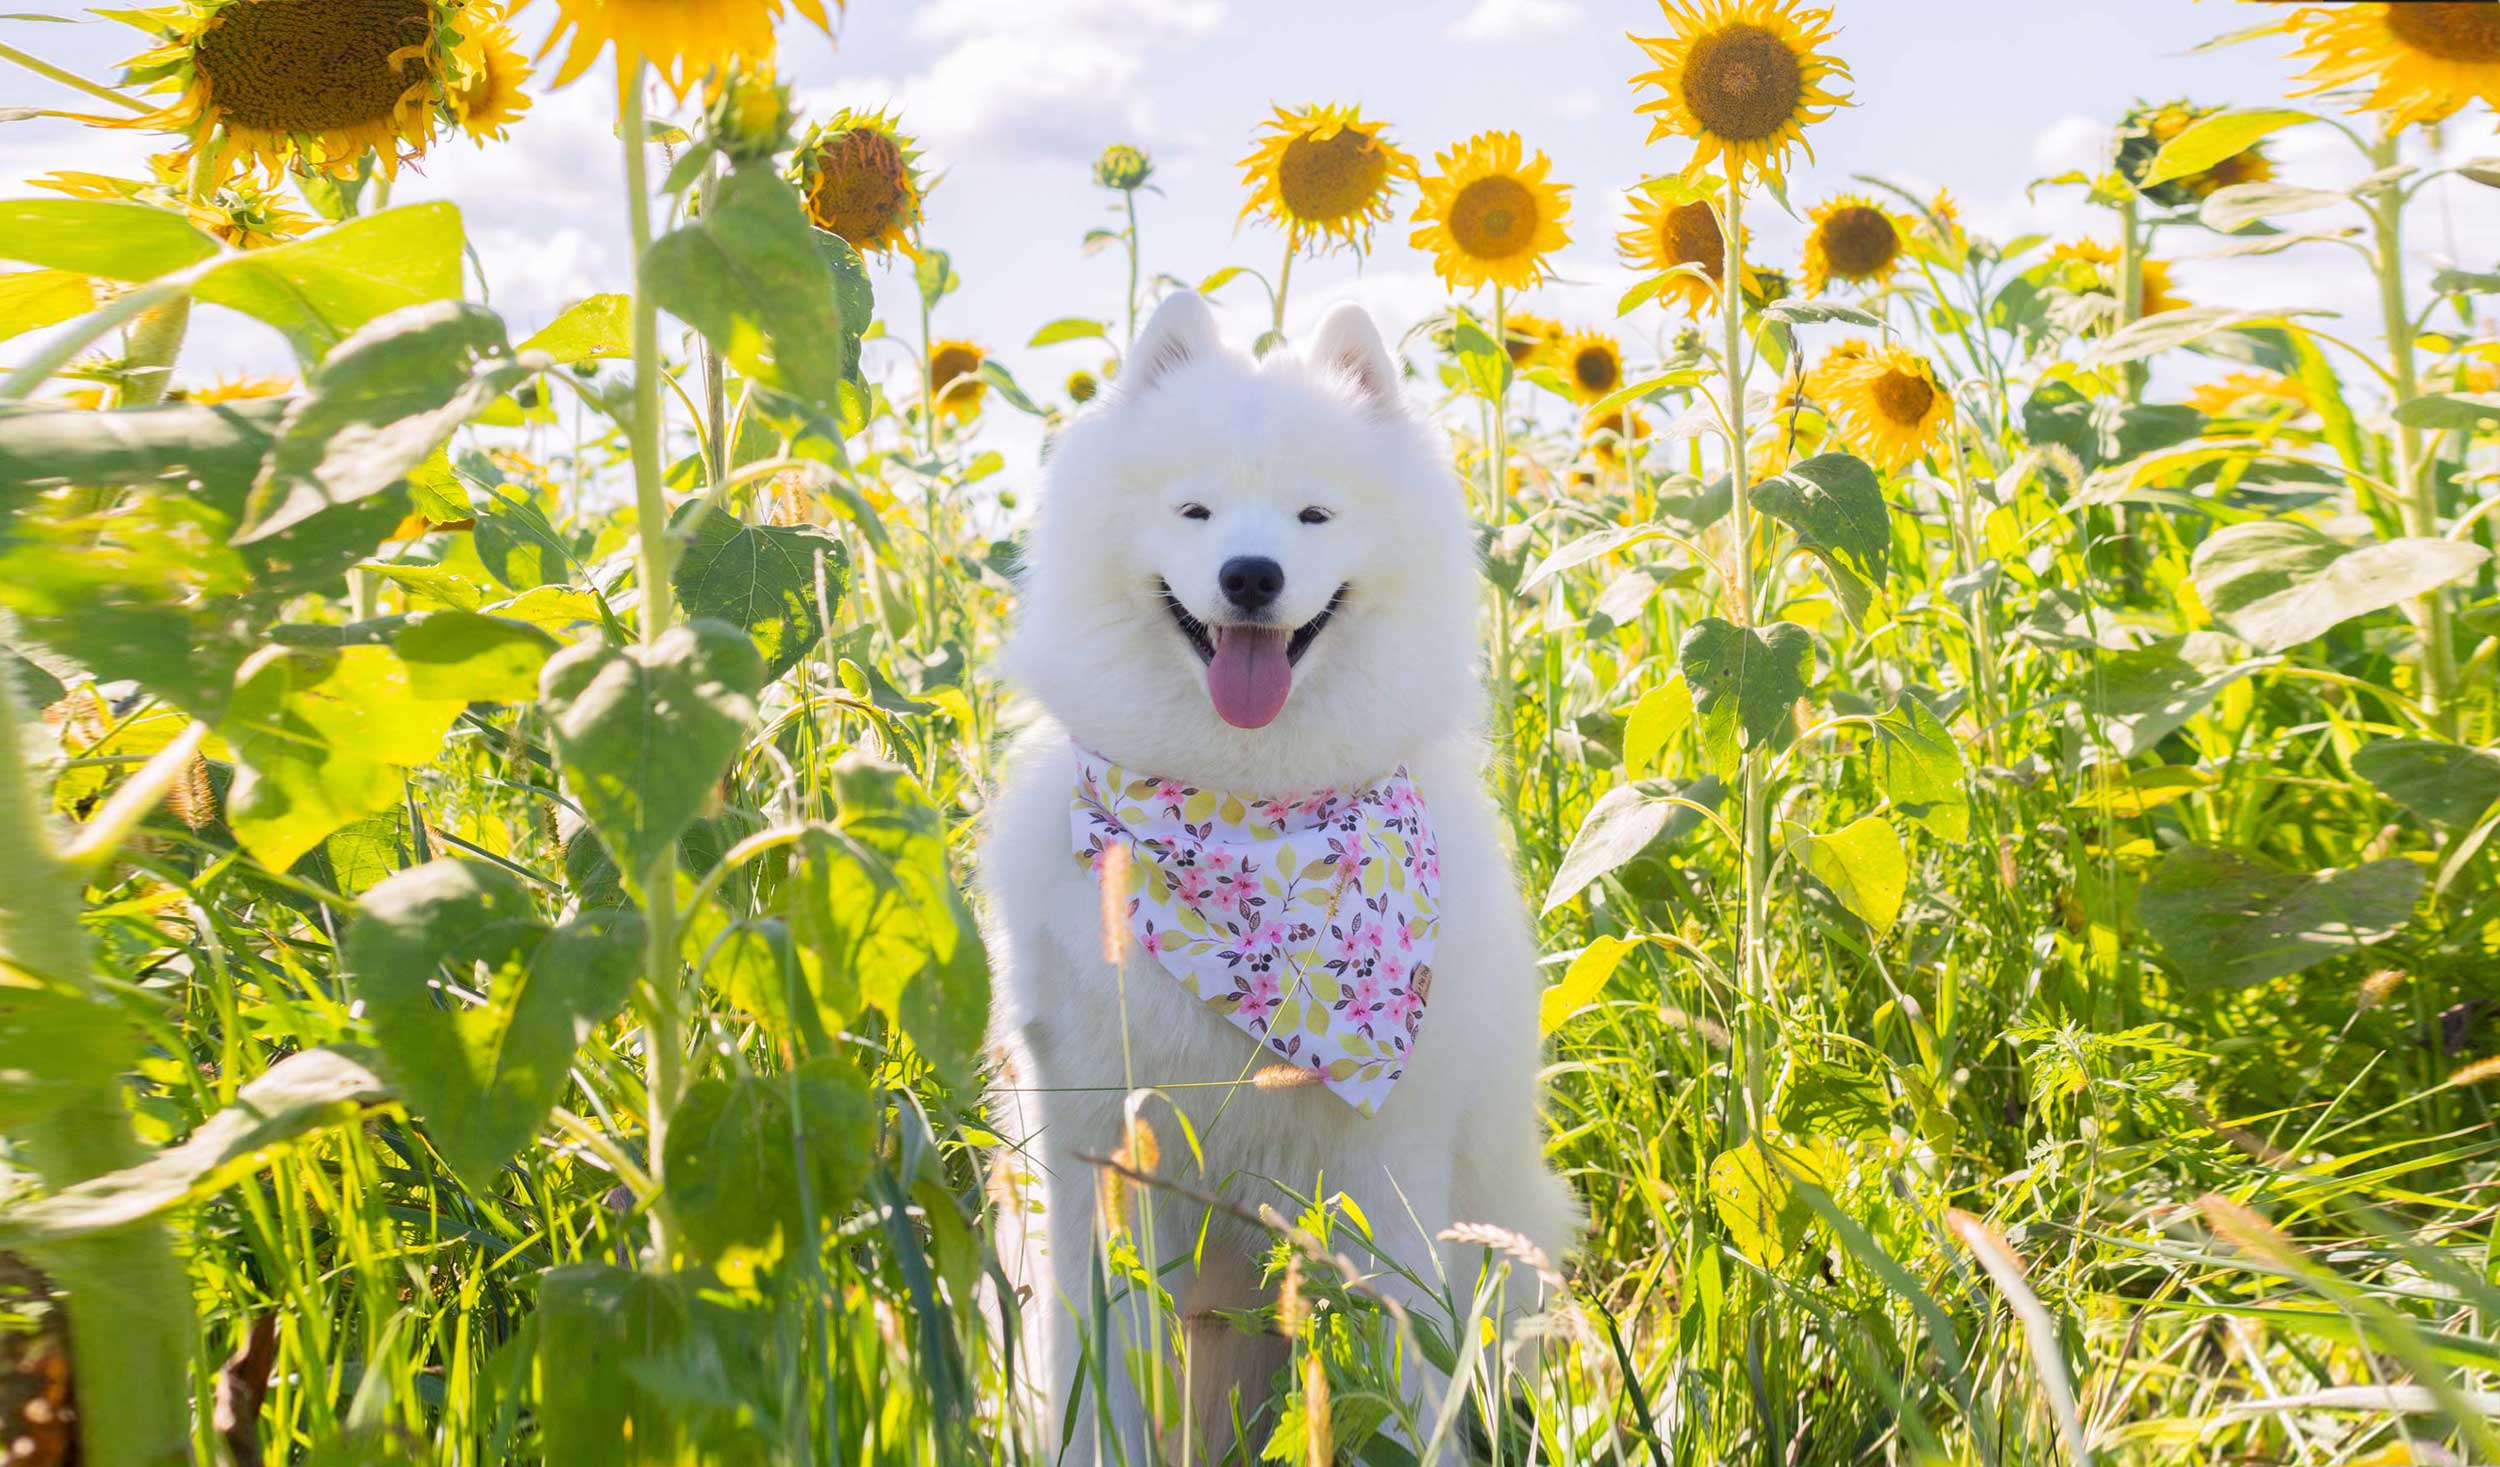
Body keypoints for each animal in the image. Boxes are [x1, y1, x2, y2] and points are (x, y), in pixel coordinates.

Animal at [980, 292, 1580, 1459]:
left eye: (1312, 516)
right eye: (1196, 510)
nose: (1249, 575)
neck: (1247, 812)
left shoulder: (1384, 1165)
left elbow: (1401, 1359)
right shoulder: (1100, 1155)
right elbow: (1100, 1367)